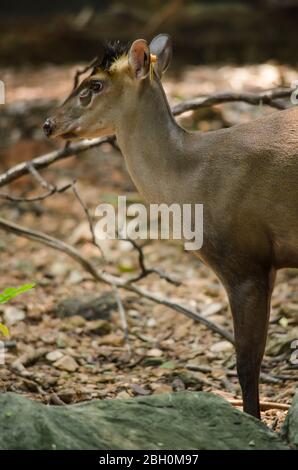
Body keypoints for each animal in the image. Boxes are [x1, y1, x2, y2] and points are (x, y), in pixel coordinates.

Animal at [44, 35, 298, 418]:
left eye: (94, 84)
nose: (48, 124)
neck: (192, 177)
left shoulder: (245, 260)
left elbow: (247, 362)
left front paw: (253, 421)